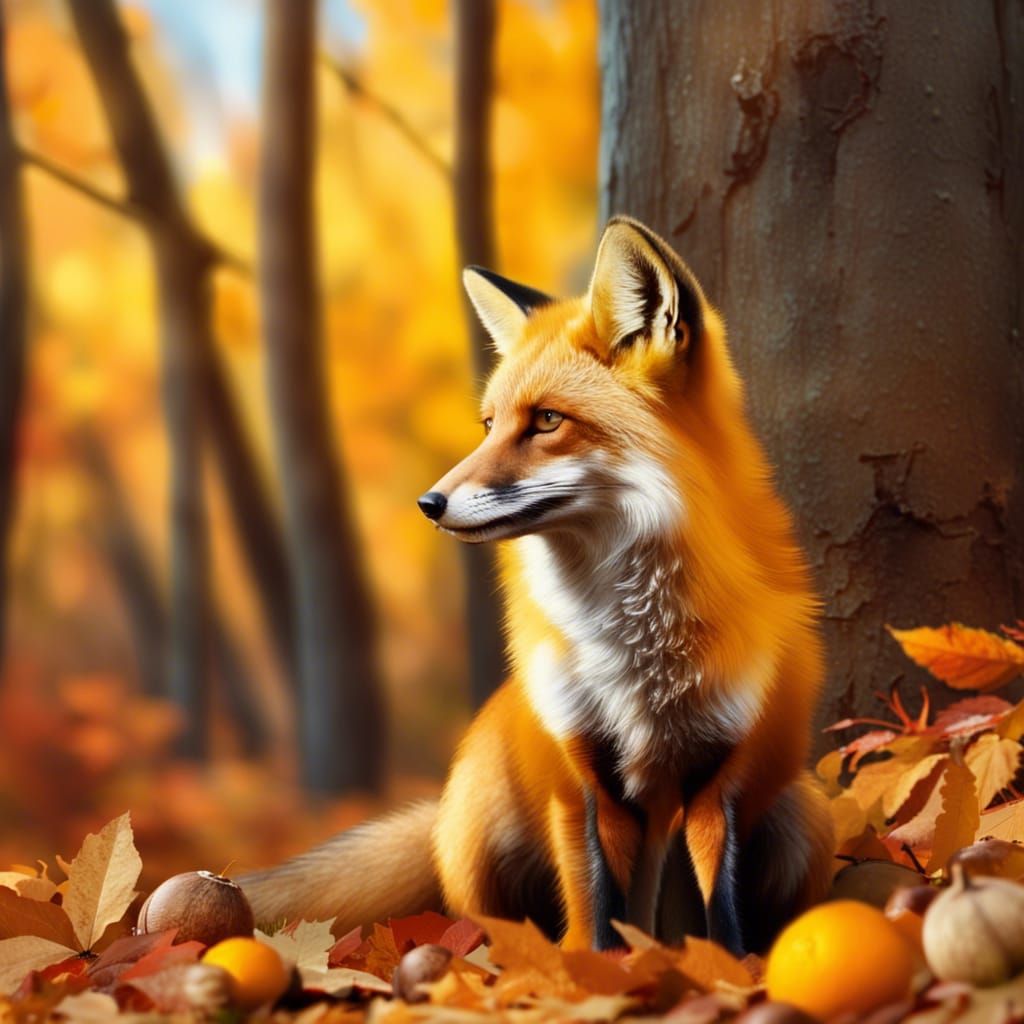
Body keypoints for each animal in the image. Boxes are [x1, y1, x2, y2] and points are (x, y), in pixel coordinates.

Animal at [240, 217, 835, 955]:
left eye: (547, 421)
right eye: (489, 424)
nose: (428, 503)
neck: (636, 648)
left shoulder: (720, 774)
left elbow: (720, 918)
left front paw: (721, 970)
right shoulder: (580, 772)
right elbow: (597, 916)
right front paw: (595, 971)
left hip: (804, 818)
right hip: (483, 835)